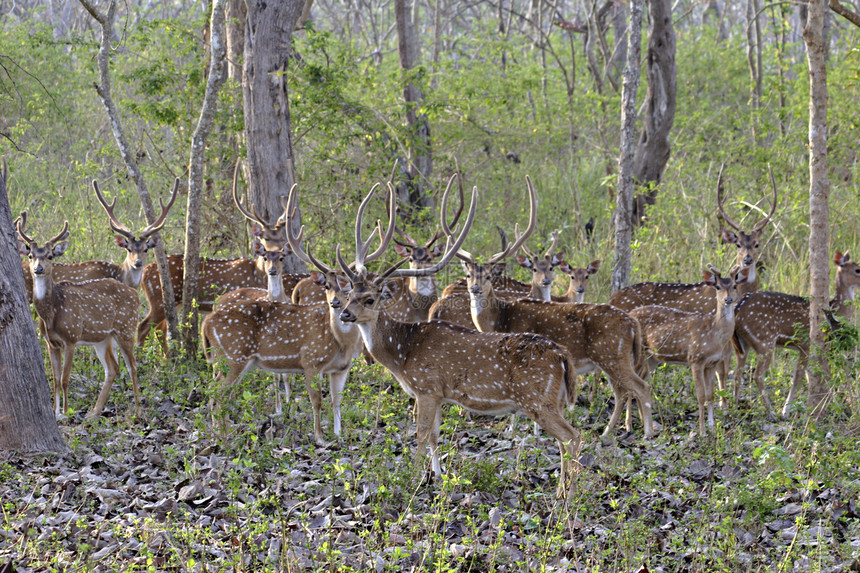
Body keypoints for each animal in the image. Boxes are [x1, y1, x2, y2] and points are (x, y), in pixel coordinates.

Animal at [16, 217, 139, 418]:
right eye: (30, 256)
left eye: (50, 256)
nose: (38, 269)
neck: (52, 313)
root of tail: (135, 293)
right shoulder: (51, 343)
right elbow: (55, 379)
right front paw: (55, 411)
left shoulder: (71, 337)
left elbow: (65, 379)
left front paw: (66, 412)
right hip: (103, 338)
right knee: (112, 368)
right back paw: (94, 412)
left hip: (126, 327)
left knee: (132, 366)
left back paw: (138, 408)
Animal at [332, 177, 580, 494]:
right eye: (350, 294)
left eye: (370, 299)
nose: (344, 314)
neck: (403, 353)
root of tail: (563, 355)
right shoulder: (438, 394)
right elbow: (435, 436)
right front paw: (438, 476)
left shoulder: (426, 387)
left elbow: (420, 434)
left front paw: (413, 480)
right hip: (555, 400)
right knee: (564, 441)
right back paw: (565, 489)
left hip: (537, 399)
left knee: (572, 437)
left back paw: (567, 495)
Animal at [628, 266, 748, 432]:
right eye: (718, 287)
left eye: (734, 286)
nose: (728, 299)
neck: (714, 333)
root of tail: (629, 315)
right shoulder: (695, 359)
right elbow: (701, 396)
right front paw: (702, 431)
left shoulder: (712, 363)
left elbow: (710, 395)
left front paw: (712, 427)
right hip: (639, 352)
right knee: (629, 384)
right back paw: (628, 426)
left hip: (652, 358)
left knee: (641, 382)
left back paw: (645, 422)